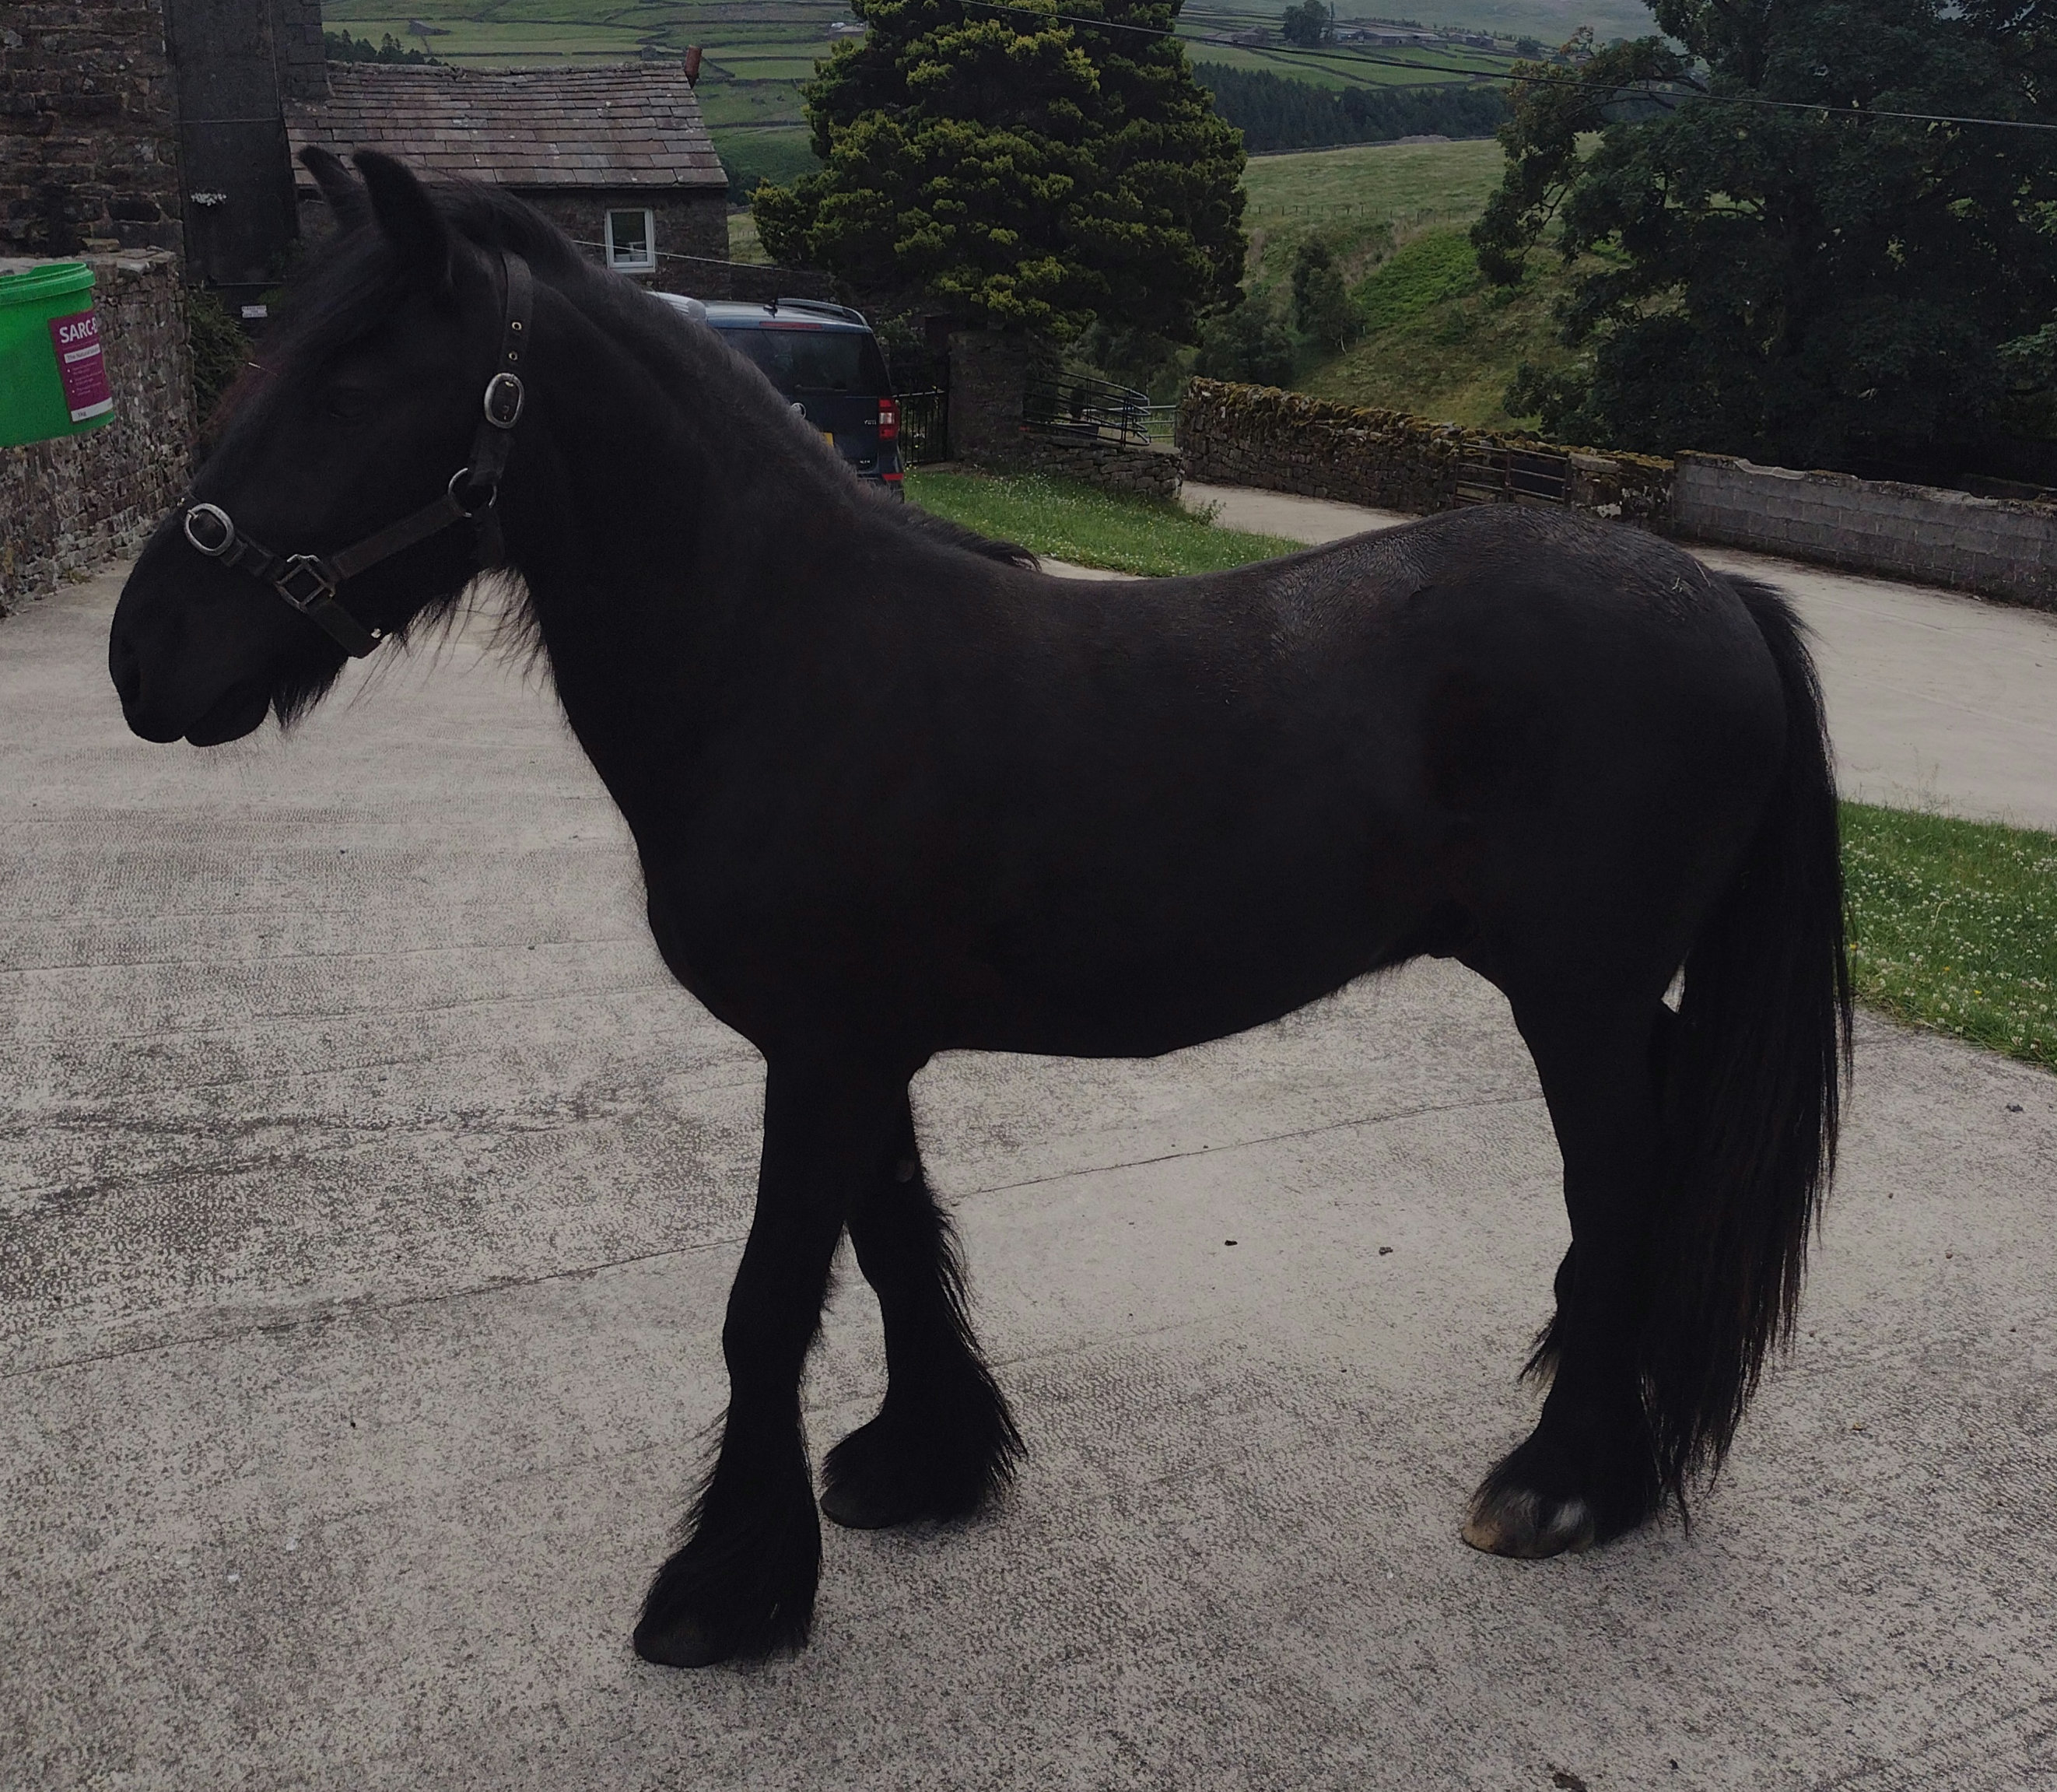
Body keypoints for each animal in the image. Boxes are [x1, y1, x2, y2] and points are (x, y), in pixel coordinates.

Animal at [108, 149, 1851, 1670]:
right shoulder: (856, 1051)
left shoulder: (817, 1054)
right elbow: (891, 1248)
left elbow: (763, 1306)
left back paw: (1558, 1482)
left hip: (1574, 996)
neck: (786, 651)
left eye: (350, 380)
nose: (143, 656)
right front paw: (920, 1461)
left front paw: (723, 1590)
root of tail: (1720, 595)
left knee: (1615, 1198)